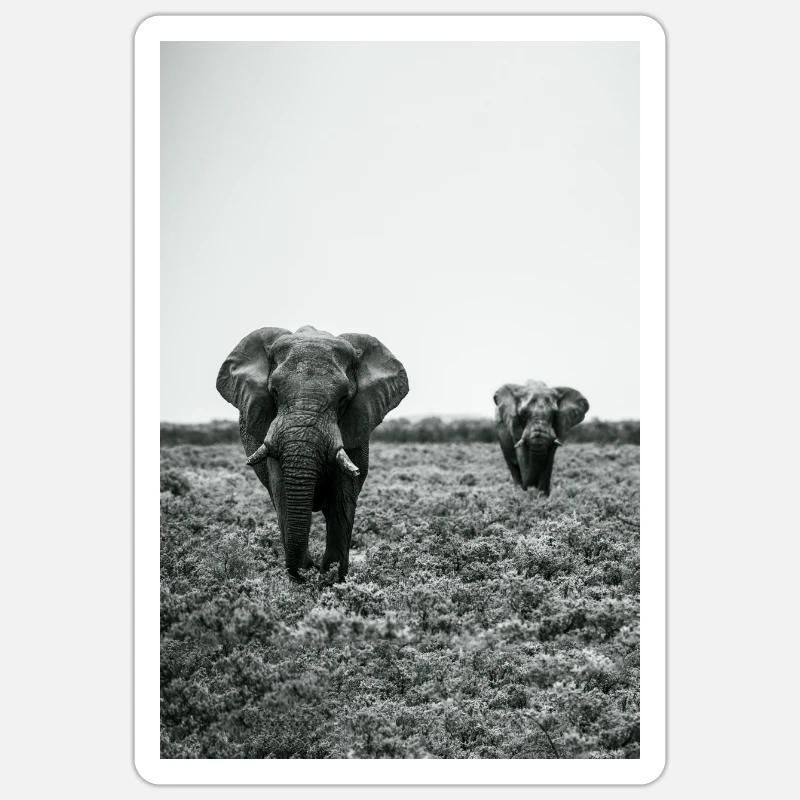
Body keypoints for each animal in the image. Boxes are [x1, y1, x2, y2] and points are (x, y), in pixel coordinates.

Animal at [217, 325, 408, 583]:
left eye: (343, 398)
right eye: (274, 392)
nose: (311, 567)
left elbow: (342, 498)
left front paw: (332, 580)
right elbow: (283, 493)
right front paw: (305, 577)